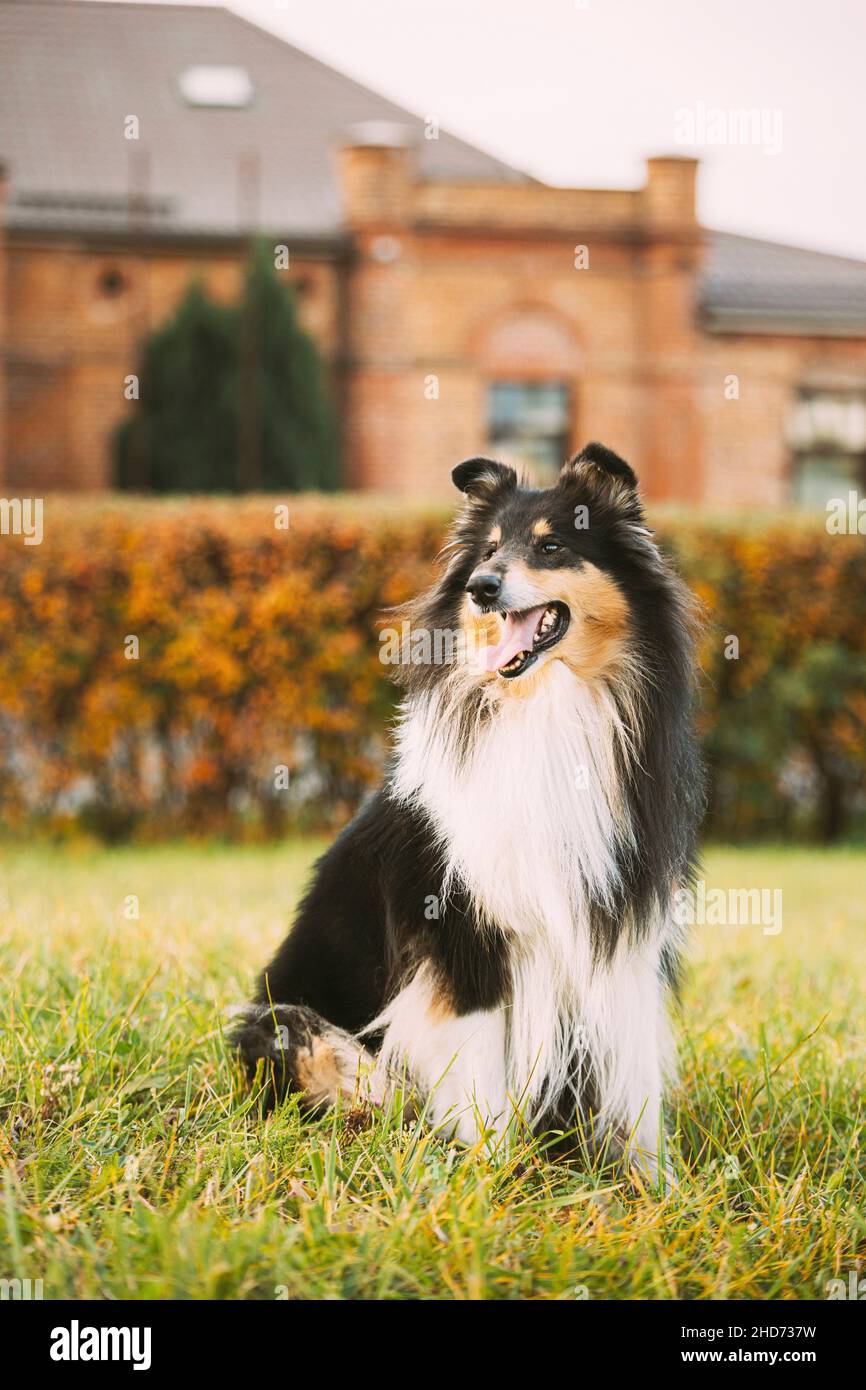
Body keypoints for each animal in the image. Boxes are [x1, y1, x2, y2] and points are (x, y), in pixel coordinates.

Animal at [234, 442, 706, 1173]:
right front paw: (490, 1168)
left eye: (550, 546)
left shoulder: (618, 927)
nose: (481, 586)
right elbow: (479, 1065)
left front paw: (648, 1183)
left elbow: (634, 1085)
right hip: (281, 1020)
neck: (547, 710)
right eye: (487, 549)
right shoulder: (462, 931)